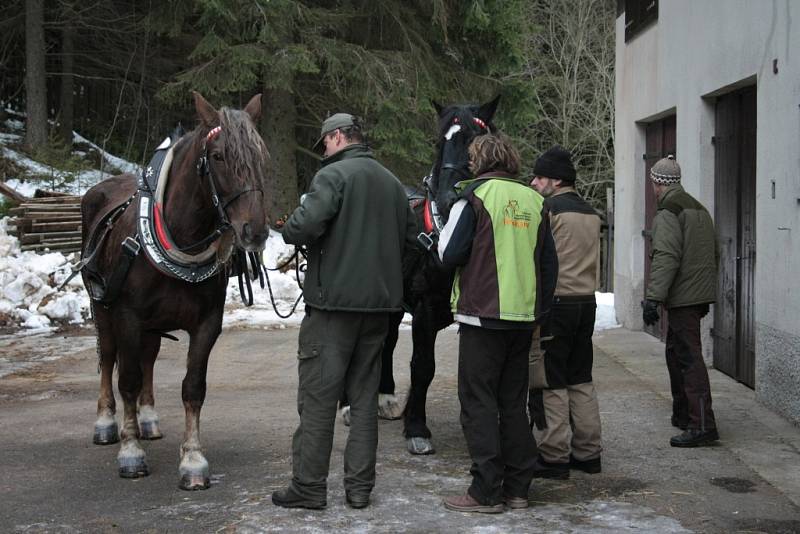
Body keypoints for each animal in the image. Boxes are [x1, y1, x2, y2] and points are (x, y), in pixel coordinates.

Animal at [80, 92, 272, 490]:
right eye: (219, 156)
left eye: (261, 156)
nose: (255, 231)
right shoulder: (127, 316)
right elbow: (128, 380)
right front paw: (131, 452)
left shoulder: (207, 323)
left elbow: (192, 387)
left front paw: (193, 460)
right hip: (102, 307)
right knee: (109, 358)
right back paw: (107, 423)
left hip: (153, 324)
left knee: (149, 358)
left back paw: (148, 419)